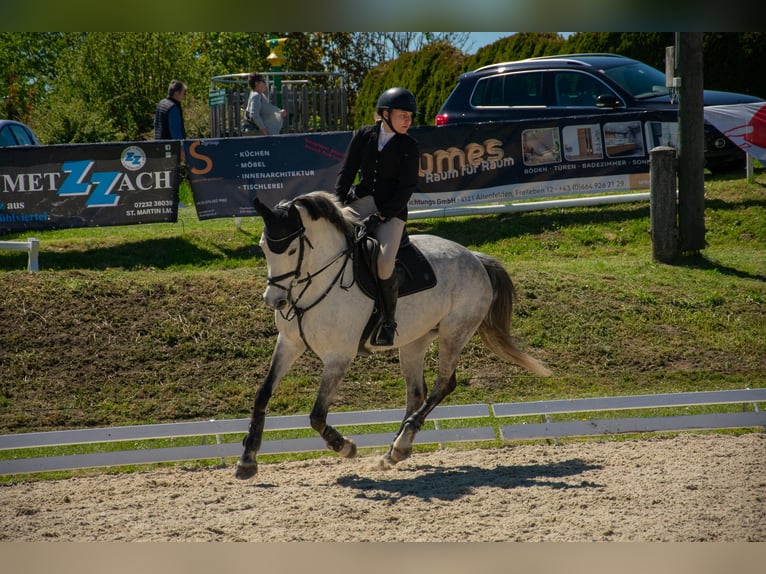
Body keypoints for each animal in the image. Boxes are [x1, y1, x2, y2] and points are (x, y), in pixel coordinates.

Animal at [236, 191, 552, 480]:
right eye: (264, 247)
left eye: (291, 251)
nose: (274, 301)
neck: (316, 282)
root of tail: (474, 257)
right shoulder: (289, 343)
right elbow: (263, 394)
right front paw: (247, 459)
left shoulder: (339, 356)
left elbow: (316, 414)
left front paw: (344, 446)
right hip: (415, 341)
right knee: (416, 392)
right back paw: (395, 449)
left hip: (455, 332)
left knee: (444, 384)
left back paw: (400, 445)